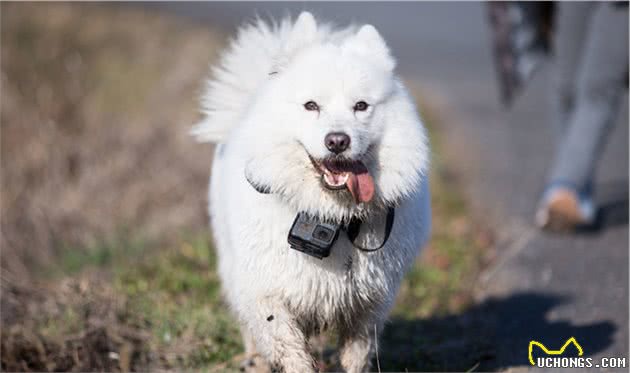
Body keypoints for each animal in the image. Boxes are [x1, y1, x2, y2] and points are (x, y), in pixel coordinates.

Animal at [193, 11, 432, 372]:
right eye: (311, 105)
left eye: (361, 106)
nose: (337, 141)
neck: (335, 216)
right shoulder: (267, 293)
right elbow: (288, 346)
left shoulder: (368, 304)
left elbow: (356, 353)